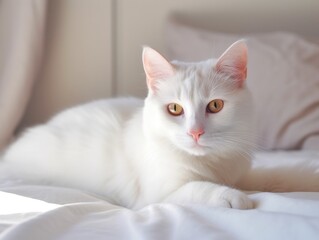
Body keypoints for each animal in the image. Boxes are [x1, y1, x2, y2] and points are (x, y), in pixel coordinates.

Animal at [0, 40, 255, 209]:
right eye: (174, 109)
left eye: (215, 106)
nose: (195, 132)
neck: (212, 164)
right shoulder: (156, 197)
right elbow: (198, 188)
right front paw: (233, 197)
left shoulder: (240, 173)